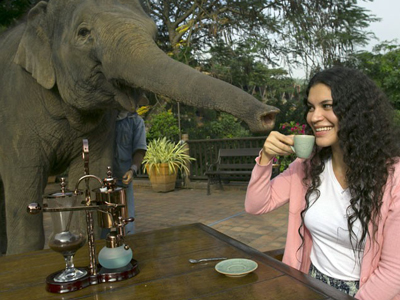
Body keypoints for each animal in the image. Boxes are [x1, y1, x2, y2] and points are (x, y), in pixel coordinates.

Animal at [0, 0, 278, 255]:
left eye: (154, 34)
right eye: (83, 33)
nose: (269, 115)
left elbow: (91, 175)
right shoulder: (14, 111)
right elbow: (25, 182)